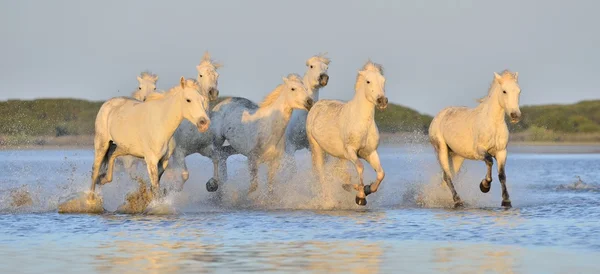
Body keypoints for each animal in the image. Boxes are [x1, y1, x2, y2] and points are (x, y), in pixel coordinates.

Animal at [308, 60, 386, 206]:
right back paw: (328, 200)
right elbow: (360, 167)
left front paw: (367, 189)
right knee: (322, 175)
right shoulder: (351, 151)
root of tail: (316, 105)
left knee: (339, 172)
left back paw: (347, 186)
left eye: (383, 80)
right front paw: (360, 196)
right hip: (316, 148)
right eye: (368, 81)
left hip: (340, 156)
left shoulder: (370, 152)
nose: (382, 101)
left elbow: (381, 174)